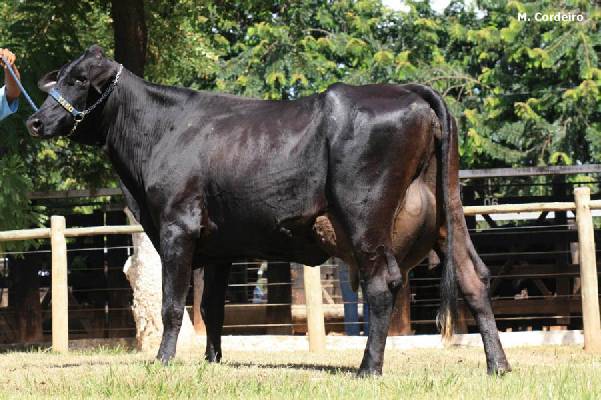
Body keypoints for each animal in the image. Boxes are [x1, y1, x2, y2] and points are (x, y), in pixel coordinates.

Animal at [25, 45, 508, 376]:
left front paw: (163, 361)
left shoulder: (178, 226)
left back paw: (368, 368)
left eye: (80, 79)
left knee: (382, 283)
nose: (35, 121)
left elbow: (171, 304)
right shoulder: (219, 247)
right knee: (473, 277)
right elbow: (212, 309)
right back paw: (497, 365)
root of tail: (406, 89)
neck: (159, 132)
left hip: (364, 216)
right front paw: (213, 361)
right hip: (448, 216)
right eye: (58, 78)